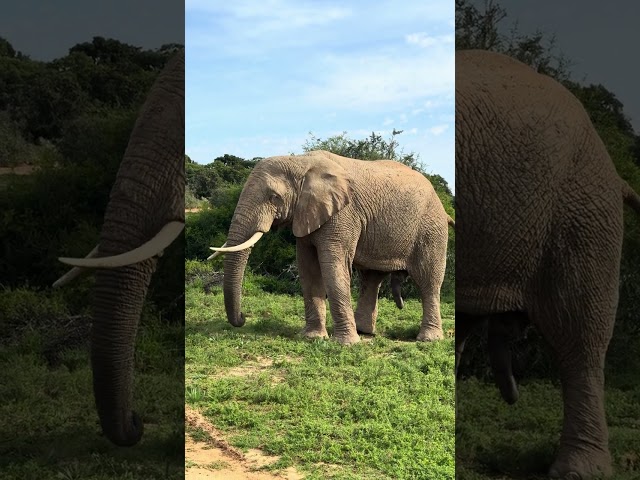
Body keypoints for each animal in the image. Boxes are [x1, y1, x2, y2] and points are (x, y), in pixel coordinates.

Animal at [211, 152, 456, 344]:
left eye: (274, 198)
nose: (243, 317)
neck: (300, 162)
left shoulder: (343, 214)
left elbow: (333, 267)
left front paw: (346, 344)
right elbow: (308, 270)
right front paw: (312, 337)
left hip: (431, 229)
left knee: (428, 280)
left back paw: (428, 339)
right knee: (371, 279)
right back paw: (364, 332)